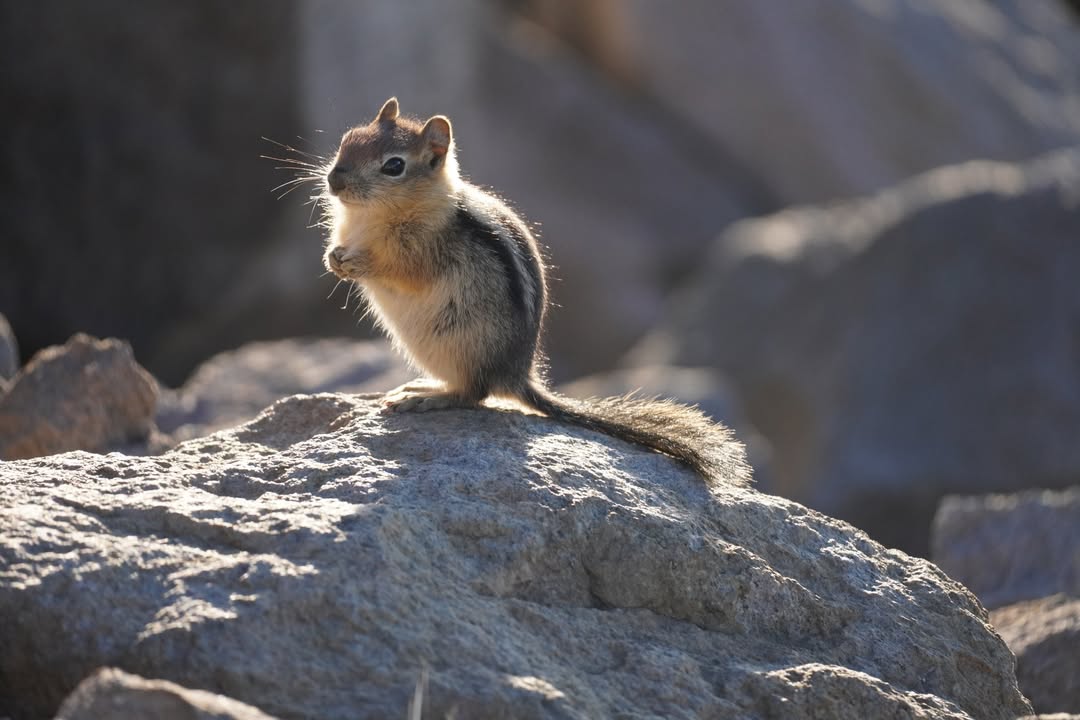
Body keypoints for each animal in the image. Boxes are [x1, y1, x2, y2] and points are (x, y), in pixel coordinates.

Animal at [320, 97, 748, 485]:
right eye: (348, 139)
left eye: (394, 166)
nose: (334, 180)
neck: (371, 216)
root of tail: (516, 375)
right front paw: (333, 258)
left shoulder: (426, 249)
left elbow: (401, 270)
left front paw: (359, 265)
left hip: (461, 344)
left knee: (474, 394)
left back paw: (425, 396)